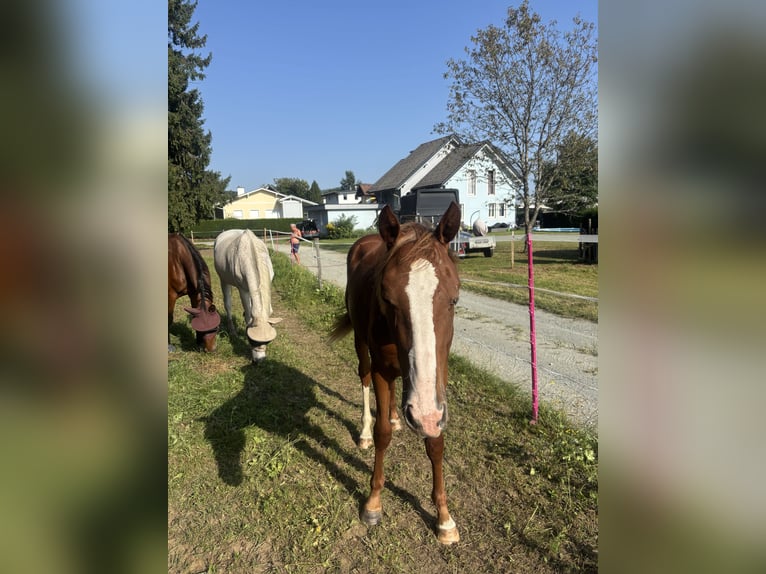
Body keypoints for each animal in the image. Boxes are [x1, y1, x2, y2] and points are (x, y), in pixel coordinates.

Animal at [213, 229, 282, 363]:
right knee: (228, 304)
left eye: (268, 342)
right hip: (223, 279)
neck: (251, 253)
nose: (259, 361)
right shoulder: (243, 290)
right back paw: (232, 330)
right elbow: (249, 314)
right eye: (251, 341)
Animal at [329, 202, 462, 545]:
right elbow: (382, 435)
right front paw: (373, 503)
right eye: (387, 297)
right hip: (361, 346)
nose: (422, 415)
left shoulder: (437, 379)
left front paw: (444, 519)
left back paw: (394, 416)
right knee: (363, 379)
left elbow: (435, 441)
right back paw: (364, 431)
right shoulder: (381, 371)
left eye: (454, 298)